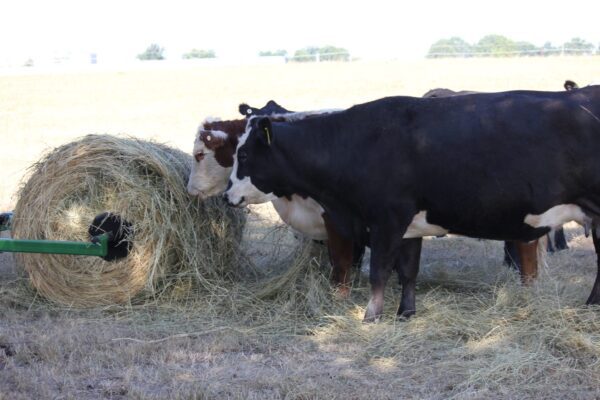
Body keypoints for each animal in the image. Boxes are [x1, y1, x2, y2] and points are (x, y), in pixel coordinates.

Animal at [225, 86, 600, 322]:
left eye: (243, 155)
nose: (228, 195)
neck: (355, 142)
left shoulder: (386, 219)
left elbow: (378, 271)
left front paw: (371, 316)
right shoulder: (409, 226)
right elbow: (407, 272)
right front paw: (405, 313)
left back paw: (591, 305)